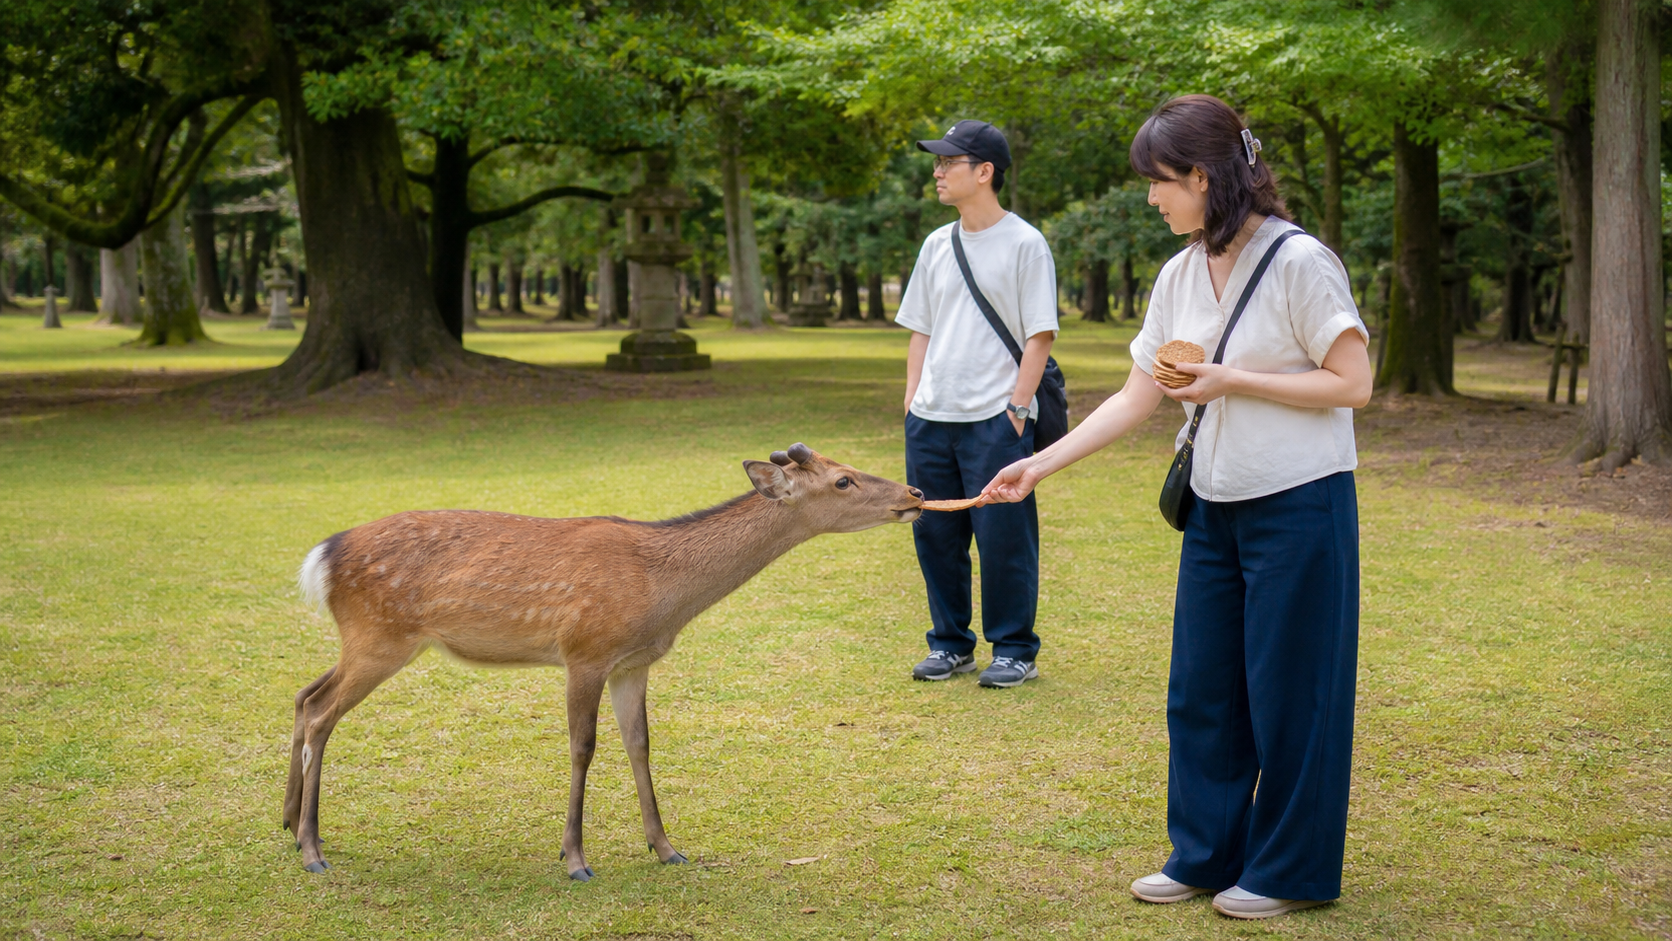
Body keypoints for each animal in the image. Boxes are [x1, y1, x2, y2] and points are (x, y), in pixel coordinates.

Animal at [284, 443, 924, 880]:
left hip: (367, 639)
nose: (915, 495)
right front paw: (574, 858)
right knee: (321, 714)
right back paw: (313, 849)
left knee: (303, 695)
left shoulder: (633, 662)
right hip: (380, 635)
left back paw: (289, 825)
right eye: (843, 480)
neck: (661, 595)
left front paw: (667, 848)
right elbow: (583, 747)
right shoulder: (584, 652)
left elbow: (640, 744)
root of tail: (323, 556)